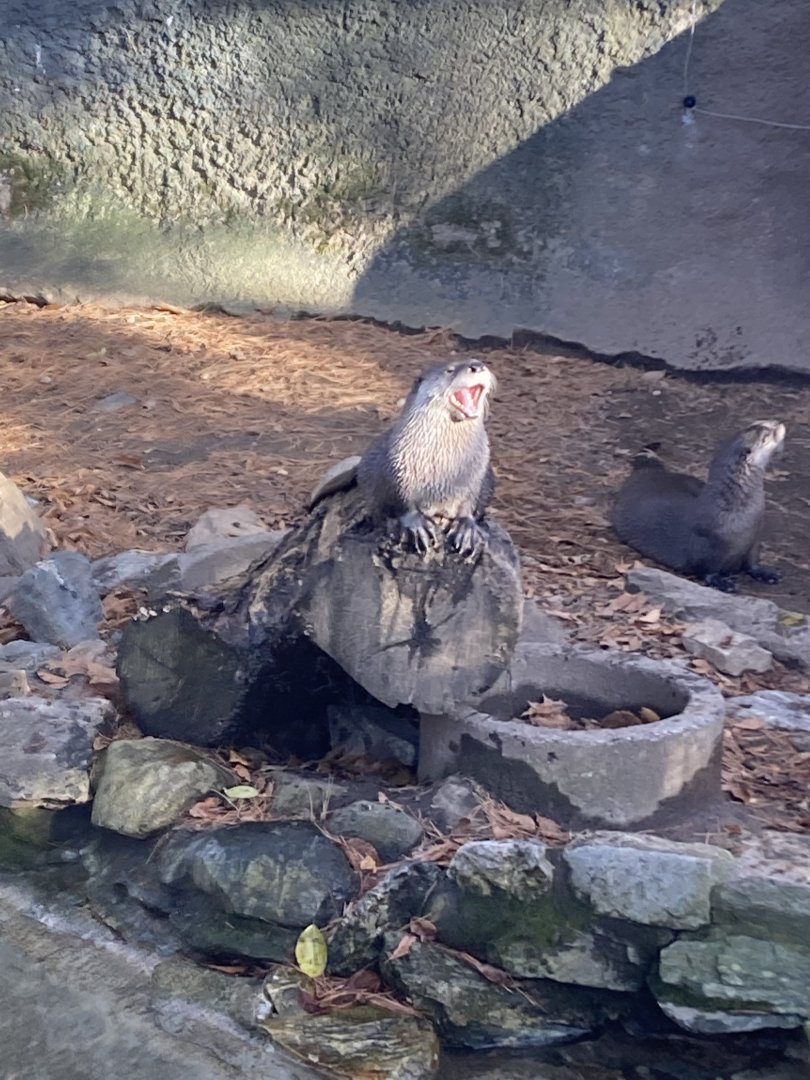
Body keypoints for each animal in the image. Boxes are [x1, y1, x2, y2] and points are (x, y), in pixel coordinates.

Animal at [309, 360, 496, 556]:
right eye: (450, 370)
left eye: (476, 361)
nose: (477, 366)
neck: (448, 472)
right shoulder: (398, 467)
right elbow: (401, 500)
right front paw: (417, 525)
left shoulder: (476, 477)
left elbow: (469, 504)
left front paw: (466, 527)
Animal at [611, 420, 785, 593]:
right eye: (766, 434)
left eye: (761, 422)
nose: (779, 423)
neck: (733, 510)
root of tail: (649, 472)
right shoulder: (709, 547)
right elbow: (706, 569)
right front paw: (723, 583)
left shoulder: (754, 538)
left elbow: (752, 561)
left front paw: (765, 573)